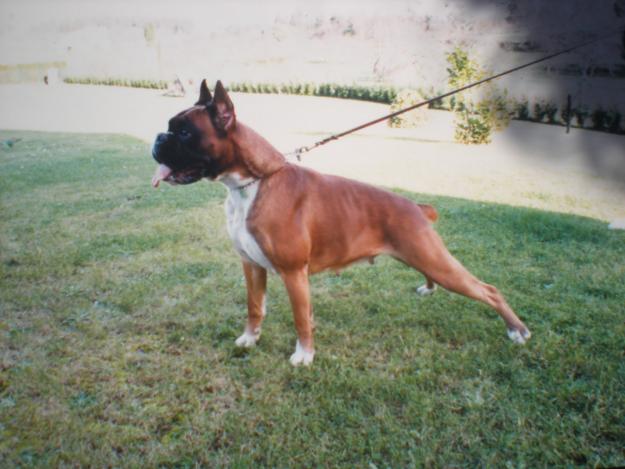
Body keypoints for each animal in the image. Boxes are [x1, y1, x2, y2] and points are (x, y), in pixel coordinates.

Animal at [151, 79, 532, 366]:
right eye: (171, 128)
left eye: (184, 133)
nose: (157, 138)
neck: (253, 183)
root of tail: (416, 207)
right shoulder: (251, 266)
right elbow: (255, 307)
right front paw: (249, 338)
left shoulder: (294, 273)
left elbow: (301, 318)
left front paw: (304, 356)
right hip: (424, 257)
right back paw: (429, 289)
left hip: (438, 261)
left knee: (489, 290)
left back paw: (517, 331)